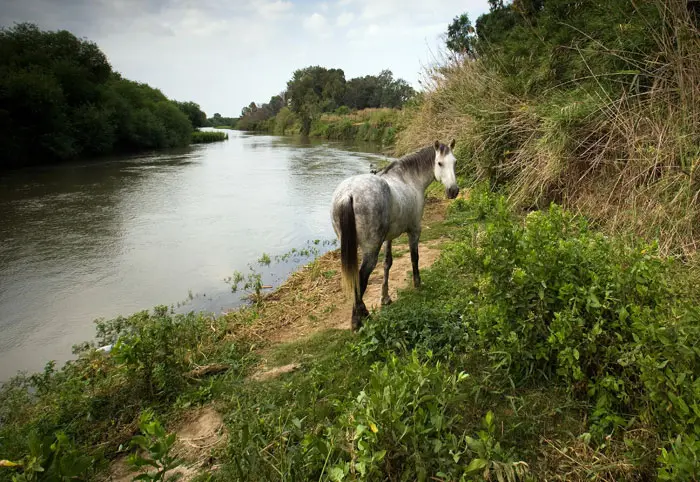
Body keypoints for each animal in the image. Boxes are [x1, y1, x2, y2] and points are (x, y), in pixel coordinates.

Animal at [330, 138, 460, 328]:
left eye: (455, 162)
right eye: (439, 163)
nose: (453, 191)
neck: (409, 178)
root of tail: (349, 194)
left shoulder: (388, 238)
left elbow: (387, 263)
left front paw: (385, 297)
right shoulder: (414, 230)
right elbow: (414, 257)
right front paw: (417, 284)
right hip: (370, 250)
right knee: (361, 278)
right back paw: (359, 319)